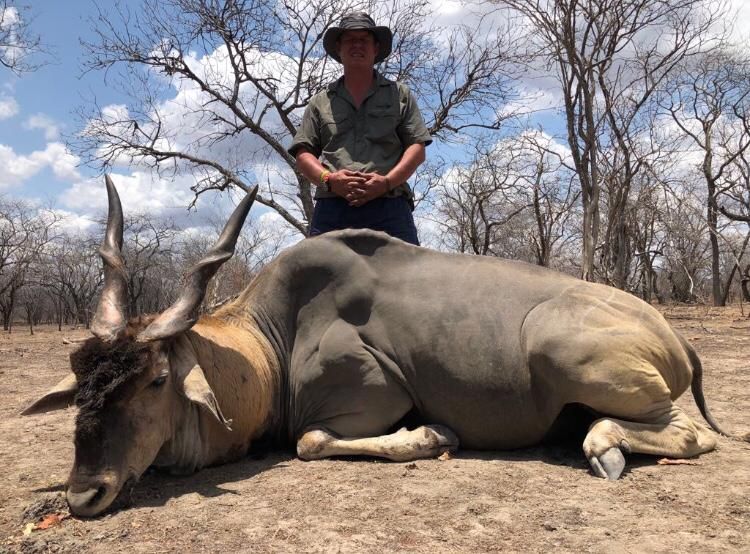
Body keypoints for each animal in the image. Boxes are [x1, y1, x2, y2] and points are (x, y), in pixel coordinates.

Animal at [22, 177, 746, 517]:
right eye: (82, 381)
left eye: (153, 380)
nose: (84, 494)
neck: (274, 338)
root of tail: (672, 333)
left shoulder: (369, 399)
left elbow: (313, 441)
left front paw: (432, 436)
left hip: (563, 352)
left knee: (688, 433)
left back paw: (605, 448)